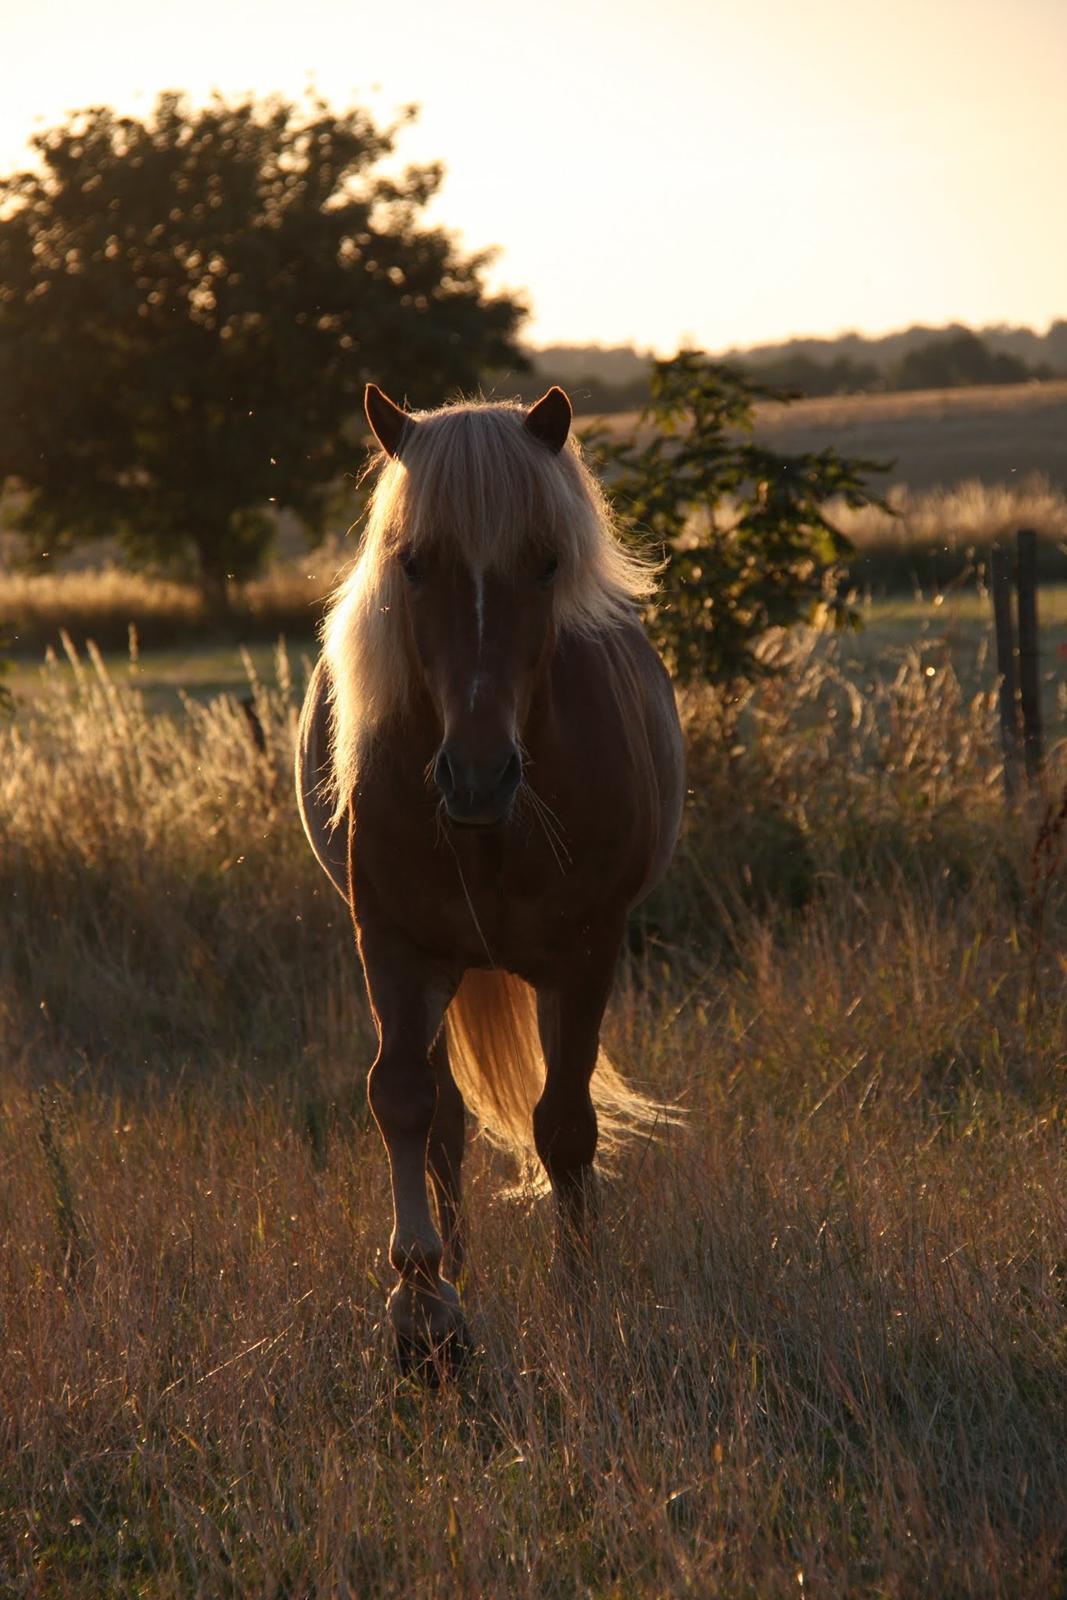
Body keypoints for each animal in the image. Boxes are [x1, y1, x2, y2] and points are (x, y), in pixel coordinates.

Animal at [295, 380, 687, 1369]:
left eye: (544, 564)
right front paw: (422, 1307)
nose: (477, 776)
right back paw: (455, 1270)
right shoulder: (393, 943)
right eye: (412, 564)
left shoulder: (586, 953)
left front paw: (581, 1295)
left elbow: (565, 1123)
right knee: (442, 1126)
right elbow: (402, 1101)